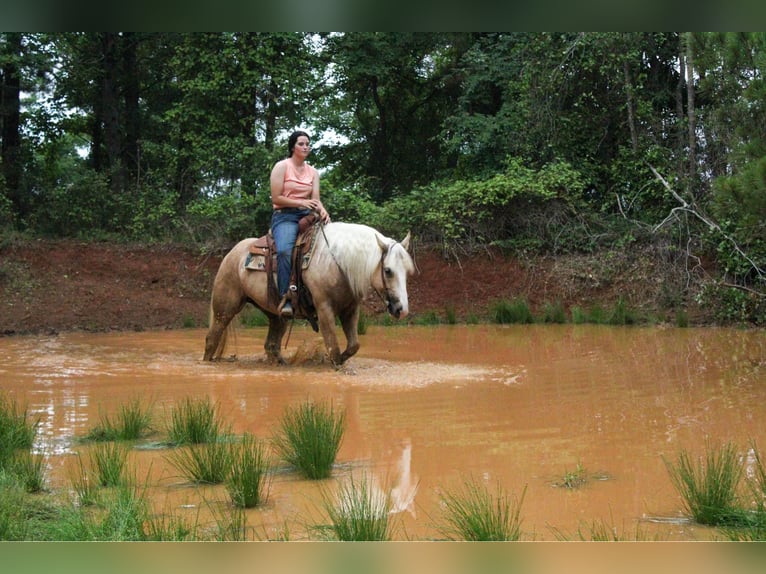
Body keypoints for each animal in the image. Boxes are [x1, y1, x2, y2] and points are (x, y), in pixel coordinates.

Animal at [203, 222, 414, 366]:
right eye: (388, 270)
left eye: (408, 271)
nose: (402, 310)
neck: (336, 261)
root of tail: (231, 254)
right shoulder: (324, 308)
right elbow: (333, 347)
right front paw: (336, 362)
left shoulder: (350, 310)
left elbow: (354, 345)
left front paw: (342, 359)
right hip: (225, 309)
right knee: (212, 339)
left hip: (276, 316)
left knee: (271, 344)